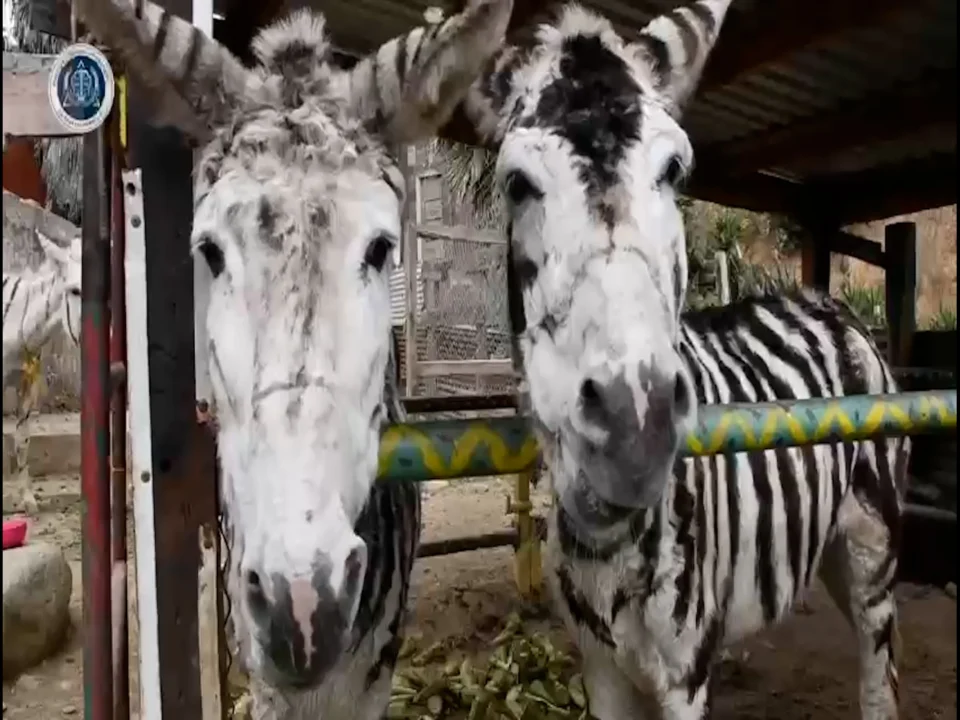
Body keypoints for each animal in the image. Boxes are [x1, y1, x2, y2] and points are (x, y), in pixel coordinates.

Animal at [456, 2, 907, 718]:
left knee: (876, 672)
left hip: (872, 545)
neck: (608, 551)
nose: (633, 427)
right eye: (516, 184)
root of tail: (828, 302)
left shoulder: (687, 673)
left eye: (674, 171)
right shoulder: (600, 668)